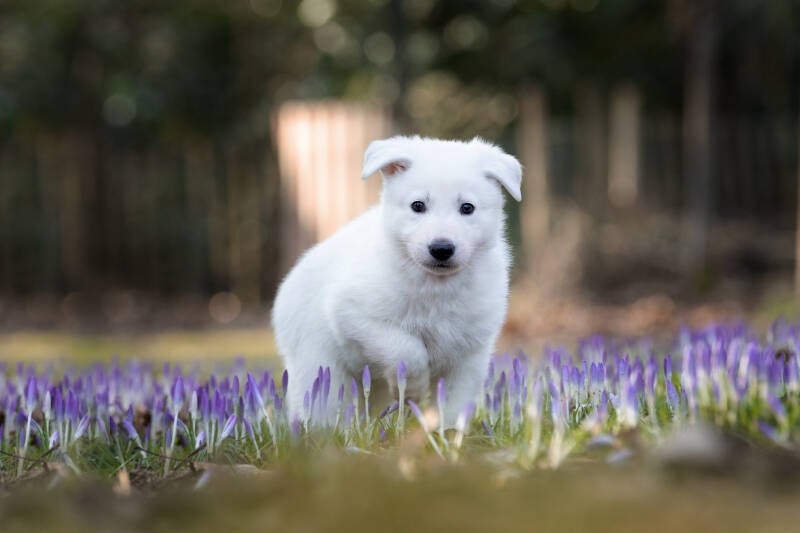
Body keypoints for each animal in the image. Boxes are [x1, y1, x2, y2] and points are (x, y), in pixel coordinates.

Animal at [272, 136, 522, 426]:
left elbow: (454, 405)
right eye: (418, 205)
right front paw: (413, 389)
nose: (441, 249)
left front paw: (447, 434)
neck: (434, 285)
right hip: (320, 367)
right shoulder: (354, 313)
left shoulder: (469, 355)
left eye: (467, 208)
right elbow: (407, 349)